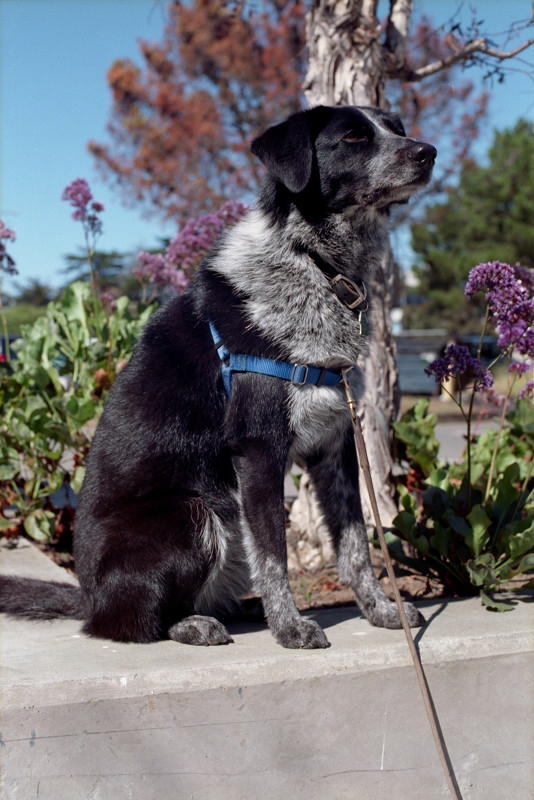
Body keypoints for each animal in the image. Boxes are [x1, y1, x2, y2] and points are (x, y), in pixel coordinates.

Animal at [0, 106, 438, 648]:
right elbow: (274, 555)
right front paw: (289, 627)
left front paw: (381, 609)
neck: (314, 262)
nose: (427, 152)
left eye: (397, 128)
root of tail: (89, 597)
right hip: (195, 514)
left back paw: (241, 608)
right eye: (354, 137)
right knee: (130, 624)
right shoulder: (258, 450)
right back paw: (191, 623)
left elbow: (355, 544)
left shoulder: (334, 447)